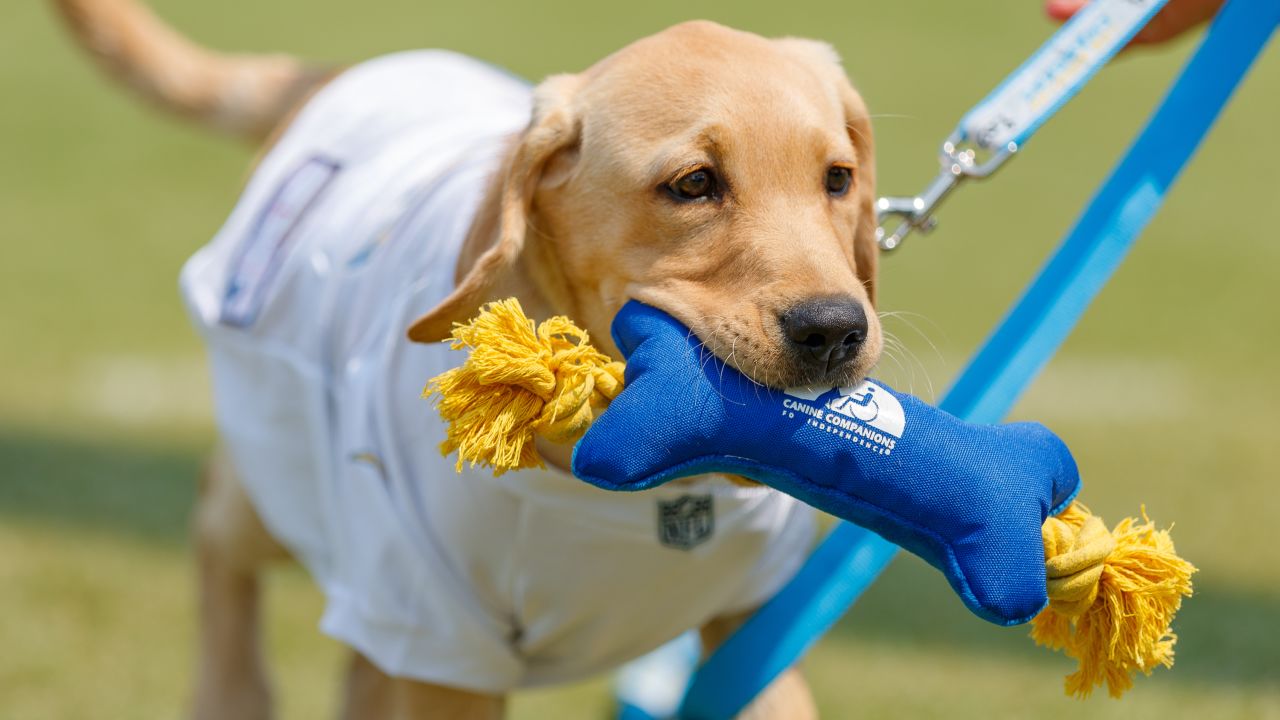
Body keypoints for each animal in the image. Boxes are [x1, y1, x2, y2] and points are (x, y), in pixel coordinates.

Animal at [55, 2, 885, 712]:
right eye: (694, 184)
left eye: (838, 179)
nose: (835, 329)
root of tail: (341, 74)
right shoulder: (442, 639)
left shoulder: (757, 625)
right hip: (285, 486)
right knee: (215, 523)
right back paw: (231, 693)